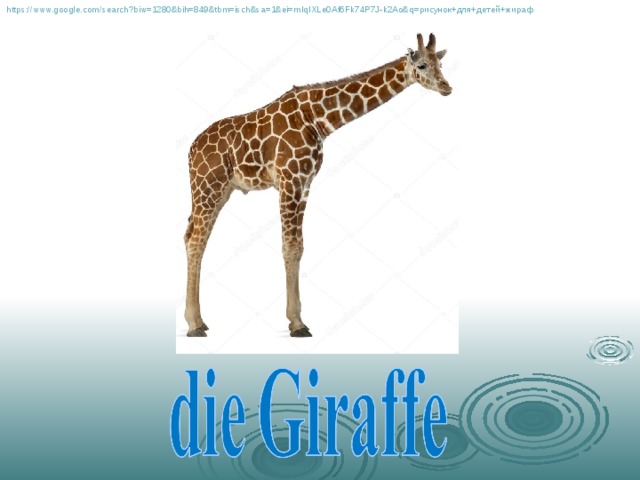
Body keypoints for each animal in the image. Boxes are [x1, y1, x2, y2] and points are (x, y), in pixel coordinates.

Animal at [184, 33, 452, 337]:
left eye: (440, 64)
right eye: (421, 65)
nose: (447, 87)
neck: (318, 119)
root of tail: (190, 151)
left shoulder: (305, 183)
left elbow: (299, 246)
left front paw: (297, 319)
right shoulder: (290, 179)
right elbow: (289, 247)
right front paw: (297, 324)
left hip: (219, 191)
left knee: (194, 237)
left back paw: (200, 320)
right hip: (208, 186)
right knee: (195, 240)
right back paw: (194, 325)